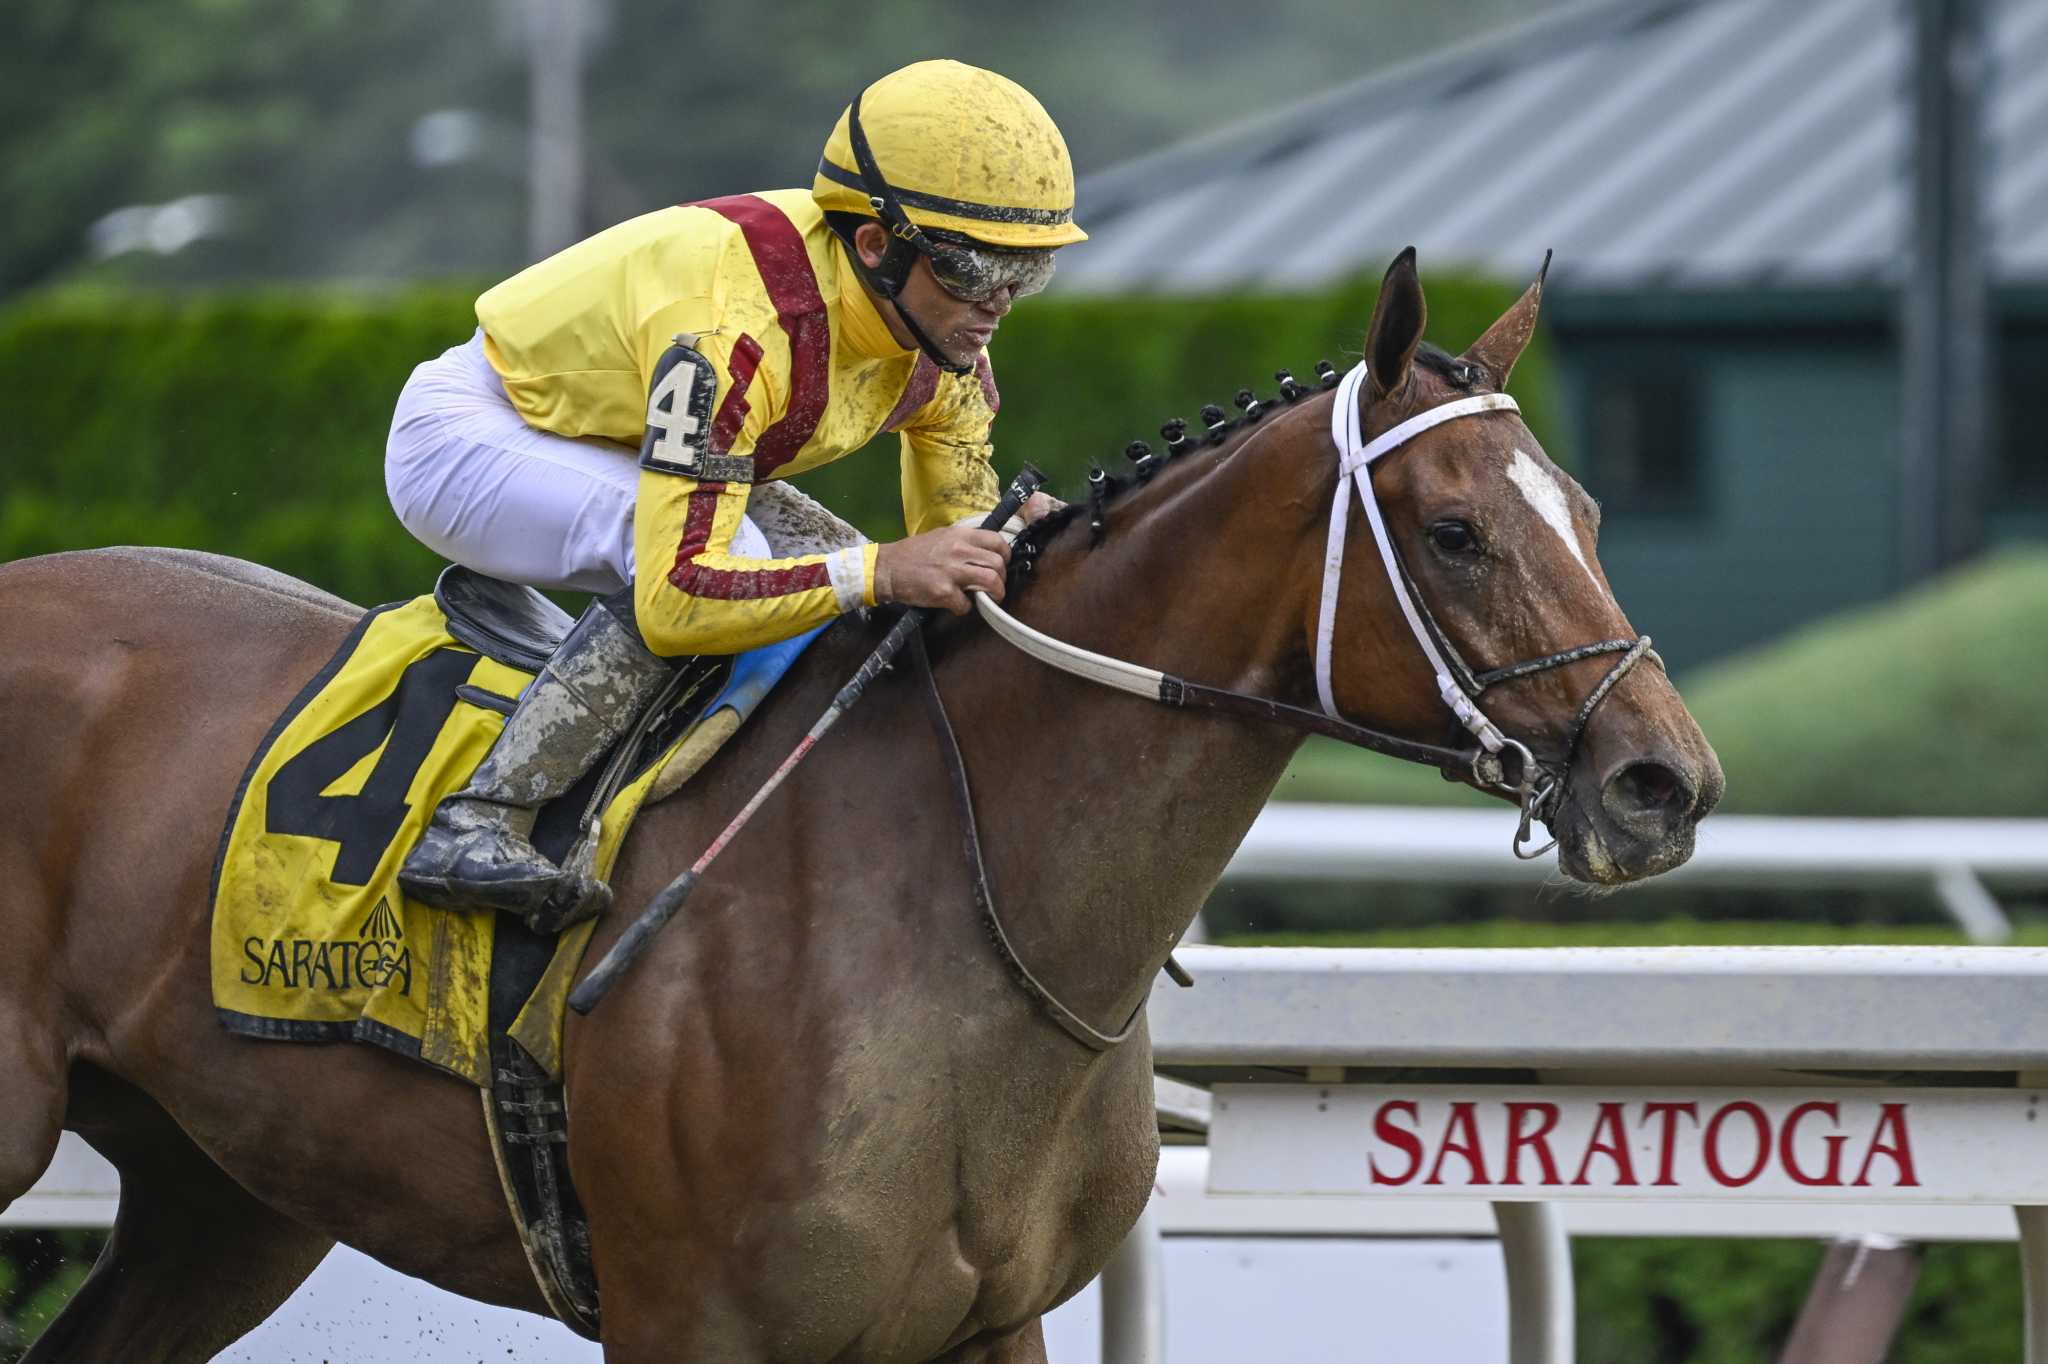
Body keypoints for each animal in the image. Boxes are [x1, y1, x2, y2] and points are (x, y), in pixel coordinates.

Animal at [0, 254, 1720, 1359]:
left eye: (1588, 511)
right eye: (1455, 533)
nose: (1665, 781)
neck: (952, 905)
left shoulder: (990, 1325)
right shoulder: (692, 1325)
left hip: (226, 1193)